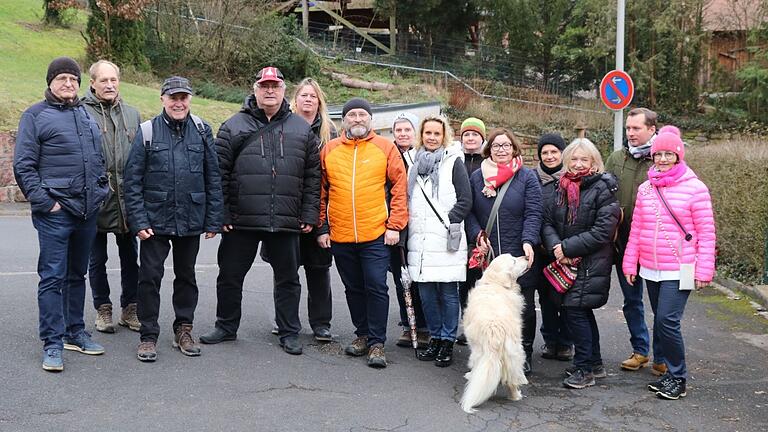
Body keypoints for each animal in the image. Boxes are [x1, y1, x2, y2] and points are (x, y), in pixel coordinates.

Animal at [462, 255, 528, 414]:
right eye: (514, 261)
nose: (527, 256)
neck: (494, 284)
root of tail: (495, 329)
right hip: (514, 352)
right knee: (512, 379)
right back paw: (516, 395)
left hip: (479, 352)